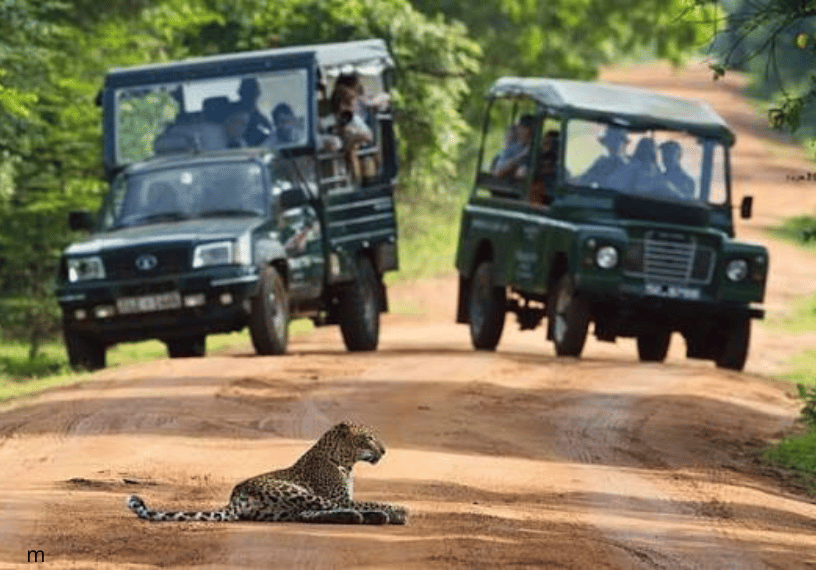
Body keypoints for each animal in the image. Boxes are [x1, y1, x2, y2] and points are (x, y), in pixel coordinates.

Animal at [127, 421, 406, 525]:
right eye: (369, 438)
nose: (384, 451)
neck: (344, 461)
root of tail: (235, 496)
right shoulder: (340, 497)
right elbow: (369, 500)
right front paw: (398, 508)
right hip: (293, 492)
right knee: (327, 509)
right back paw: (381, 516)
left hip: (281, 509)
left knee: (306, 515)